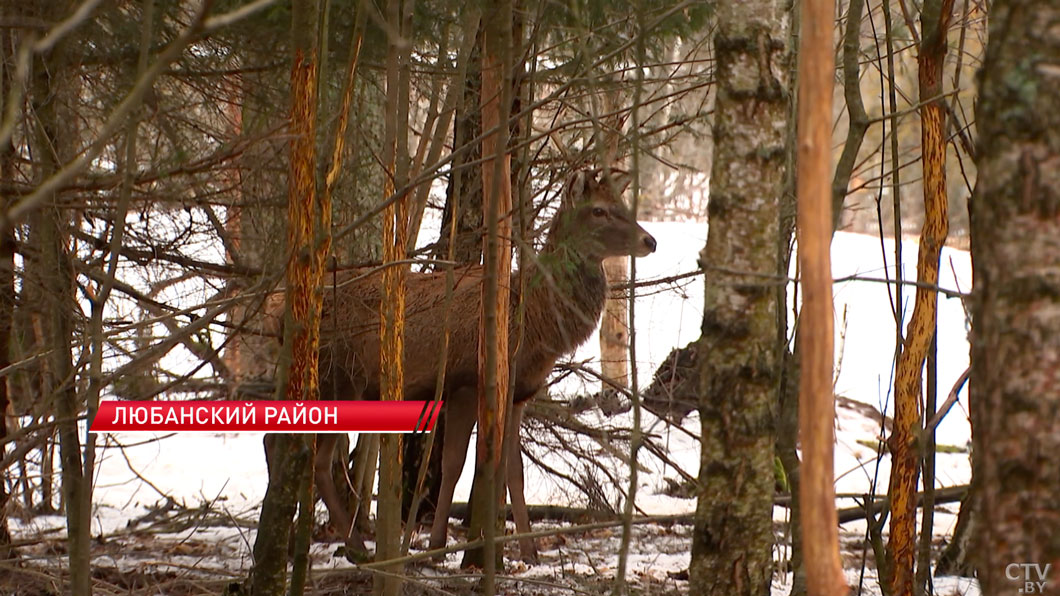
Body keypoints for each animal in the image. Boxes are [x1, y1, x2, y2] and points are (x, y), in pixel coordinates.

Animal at [284, 168, 652, 559]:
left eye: (622, 204)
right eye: (598, 210)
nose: (651, 241)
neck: (532, 324)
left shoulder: (520, 393)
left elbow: (513, 470)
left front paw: (528, 548)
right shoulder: (466, 383)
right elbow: (456, 463)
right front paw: (437, 543)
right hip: (338, 378)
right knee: (310, 456)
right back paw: (352, 545)